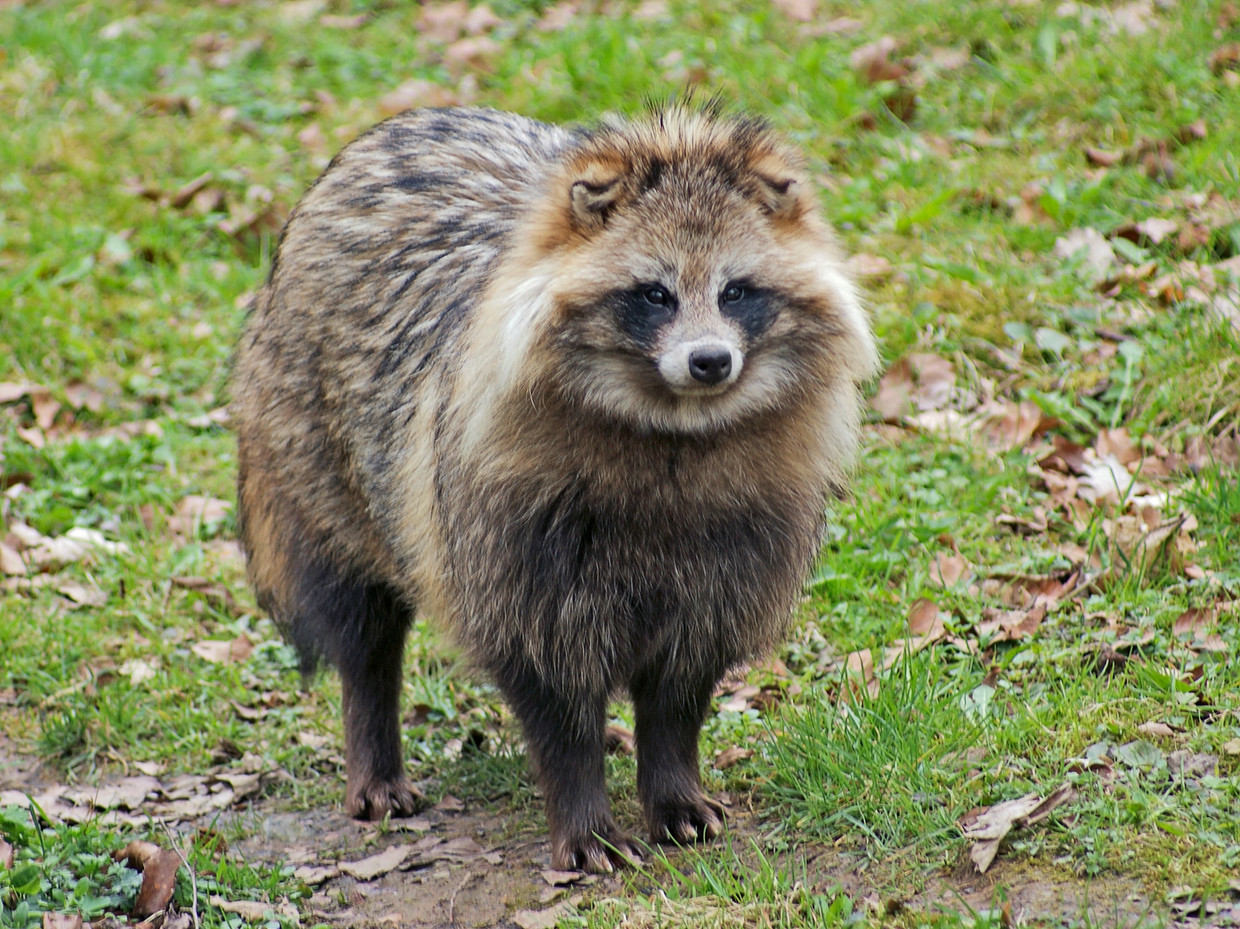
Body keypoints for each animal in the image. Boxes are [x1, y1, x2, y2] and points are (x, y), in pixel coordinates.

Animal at [232, 104, 878, 872]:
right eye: (655, 294)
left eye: (735, 291)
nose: (711, 361)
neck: (674, 426)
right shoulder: (509, 532)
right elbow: (549, 683)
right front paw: (583, 811)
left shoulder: (740, 542)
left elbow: (680, 685)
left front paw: (672, 784)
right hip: (314, 455)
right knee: (360, 623)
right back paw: (373, 738)